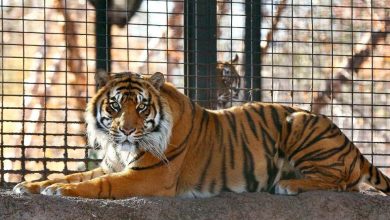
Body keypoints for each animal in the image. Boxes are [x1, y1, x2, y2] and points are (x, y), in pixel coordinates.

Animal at [13, 71, 390, 199]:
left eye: (142, 108)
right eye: (117, 106)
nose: (128, 130)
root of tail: (354, 149)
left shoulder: (145, 177)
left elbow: (96, 185)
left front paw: (59, 191)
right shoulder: (112, 164)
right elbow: (75, 174)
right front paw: (32, 185)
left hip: (299, 121)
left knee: (344, 182)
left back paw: (288, 184)